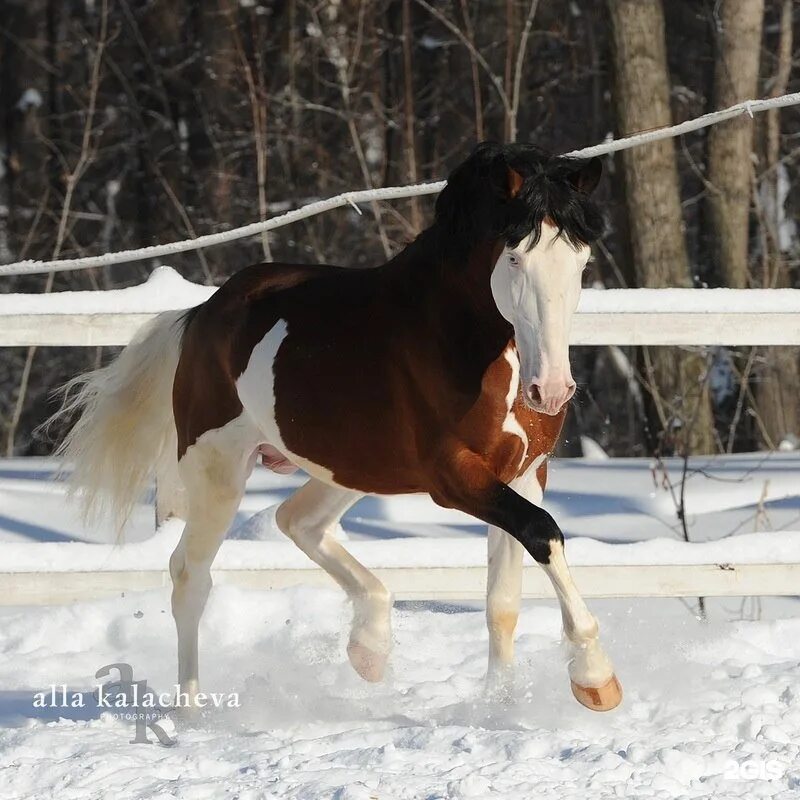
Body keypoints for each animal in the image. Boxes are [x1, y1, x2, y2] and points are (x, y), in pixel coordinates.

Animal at [53, 142, 620, 712]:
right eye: (515, 256)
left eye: (581, 260)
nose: (550, 390)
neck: (452, 339)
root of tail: (201, 315)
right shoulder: (456, 478)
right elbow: (544, 532)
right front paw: (595, 679)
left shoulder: (523, 473)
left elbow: (503, 602)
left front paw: (499, 708)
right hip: (220, 470)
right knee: (190, 577)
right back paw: (193, 715)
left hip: (353, 468)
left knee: (296, 521)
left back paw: (369, 646)